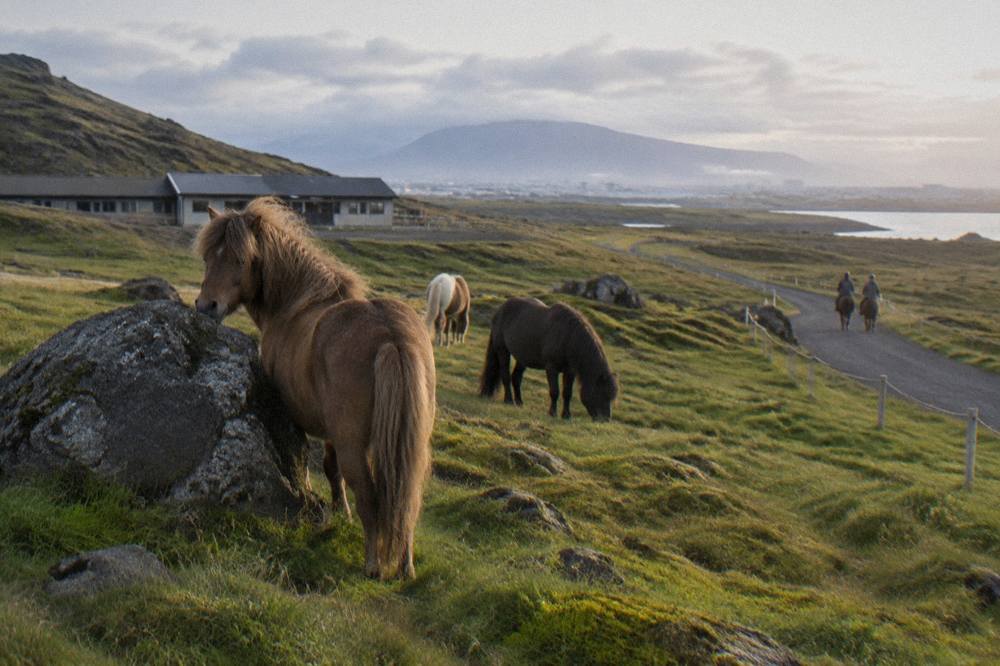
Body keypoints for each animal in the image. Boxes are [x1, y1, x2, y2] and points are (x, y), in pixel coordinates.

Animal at [194, 197, 435, 580]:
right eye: (208, 257)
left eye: (241, 259)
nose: (206, 306)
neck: (295, 305)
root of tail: (390, 337)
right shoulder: (333, 432)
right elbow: (331, 469)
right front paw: (341, 513)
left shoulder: (298, 420)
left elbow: (308, 463)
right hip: (411, 445)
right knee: (405, 497)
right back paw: (404, 566)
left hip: (356, 446)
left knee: (370, 496)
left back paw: (372, 564)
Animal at [479, 297, 618, 421]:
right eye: (602, 393)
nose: (605, 419)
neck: (567, 336)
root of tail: (499, 310)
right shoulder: (551, 368)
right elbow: (554, 391)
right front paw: (552, 413)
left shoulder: (570, 371)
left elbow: (567, 393)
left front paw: (566, 415)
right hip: (503, 351)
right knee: (506, 375)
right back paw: (509, 400)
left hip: (522, 358)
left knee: (516, 377)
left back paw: (519, 402)